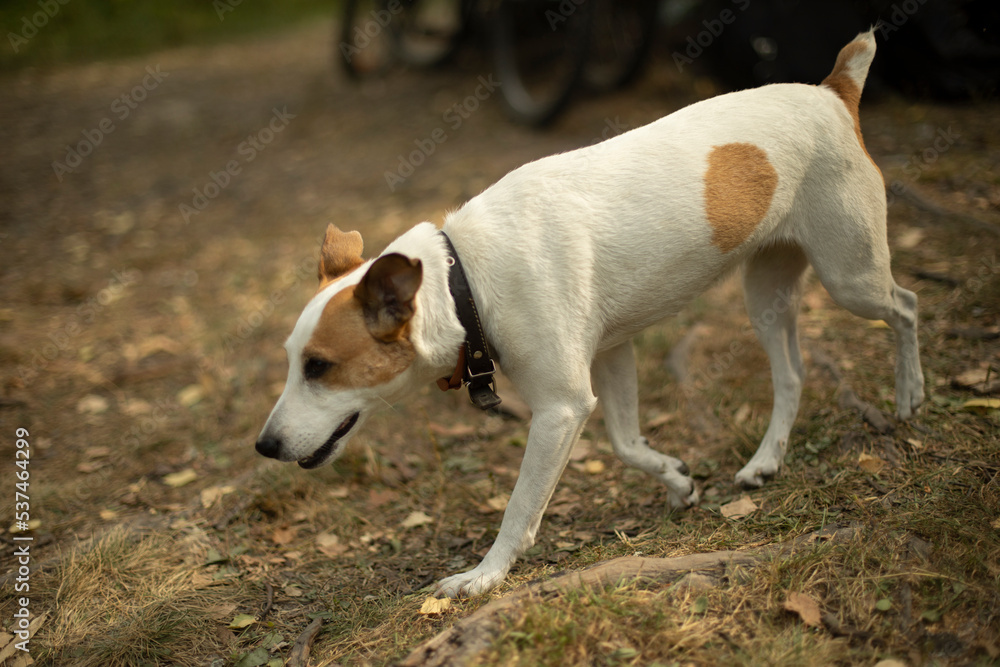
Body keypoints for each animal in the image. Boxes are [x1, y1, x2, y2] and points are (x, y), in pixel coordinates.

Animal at [256, 28, 920, 596]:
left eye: (318, 367)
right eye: (291, 361)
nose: (264, 446)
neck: (466, 276)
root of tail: (832, 91)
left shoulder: (560, 409)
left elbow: (520, 507)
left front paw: (483, 576)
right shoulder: (610, 355)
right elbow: (625, 443)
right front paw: (676, 479)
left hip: (851, 276)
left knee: (906, 308)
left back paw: (910, 394)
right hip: (766, 296)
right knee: (792, 374)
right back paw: (765, 461)